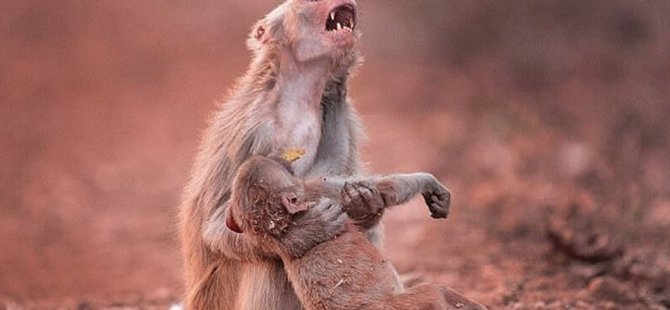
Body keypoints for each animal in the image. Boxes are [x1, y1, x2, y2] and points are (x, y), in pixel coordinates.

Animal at [178, 0, 406, 310]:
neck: (298, 96)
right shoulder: (253, 131)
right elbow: (216, 225)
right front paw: (303, 235)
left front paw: (364, 203)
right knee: (267, 262)